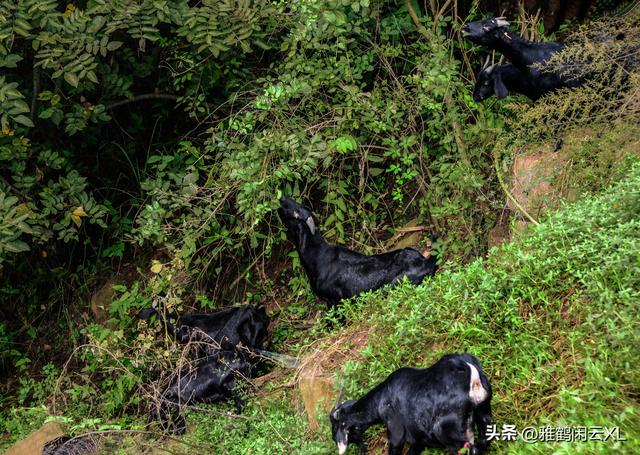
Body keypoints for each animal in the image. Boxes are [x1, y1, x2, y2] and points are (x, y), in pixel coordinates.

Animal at [328, 354, 492, 455]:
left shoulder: (396, 434)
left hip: (448, 430)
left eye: (335, 427)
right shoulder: (418, 441)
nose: (334, 440)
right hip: (484, 412)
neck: (380, 401)